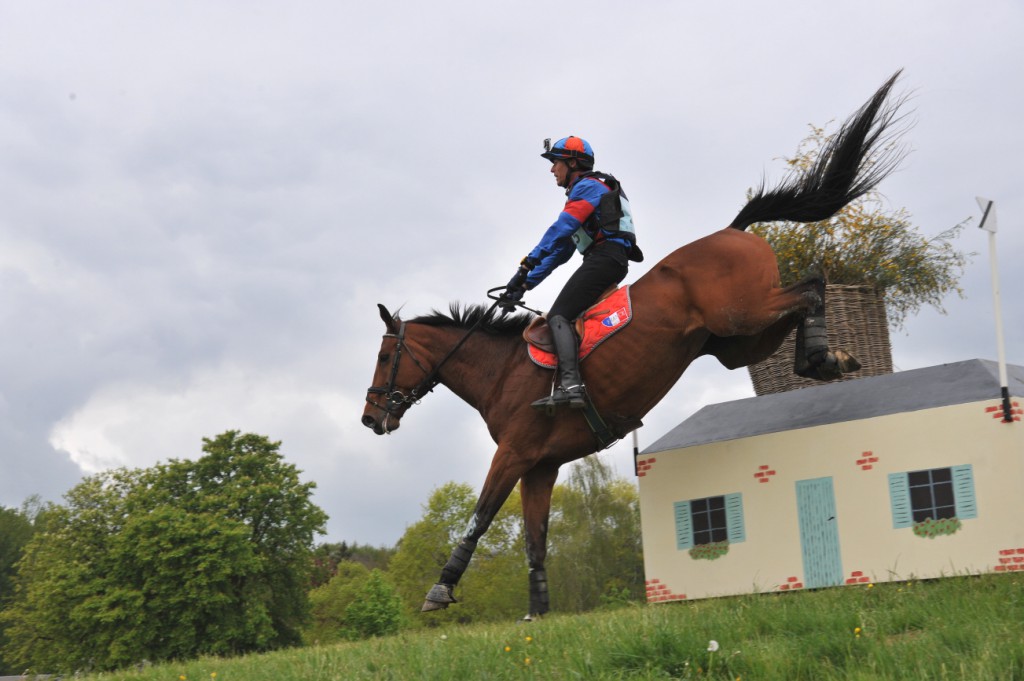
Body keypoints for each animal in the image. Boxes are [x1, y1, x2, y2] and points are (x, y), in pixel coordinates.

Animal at [364, 73, 909, 614]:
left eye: (386, 356)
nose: (371, 419)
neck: (500, 370)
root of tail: (732, 229)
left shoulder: (514, 453)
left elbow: (480, 515)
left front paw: (441, 588)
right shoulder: (541, 466)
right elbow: (535, 542)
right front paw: (538, 609)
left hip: (743, 313)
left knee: (812, 285)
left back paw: (823, 355)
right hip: (737, 343)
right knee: (797, 304)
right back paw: (825, 357)